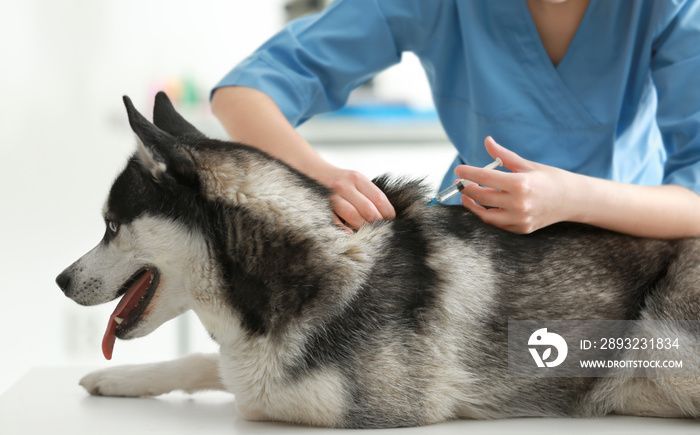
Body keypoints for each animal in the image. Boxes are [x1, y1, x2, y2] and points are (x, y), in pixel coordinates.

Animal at [56, 93, 700, 430]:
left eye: (110, 225)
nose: (60, 280)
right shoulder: (254, 361)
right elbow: (201, 360)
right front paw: (120, 378)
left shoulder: (337, 406)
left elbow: (244, 388)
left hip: (662, 338)